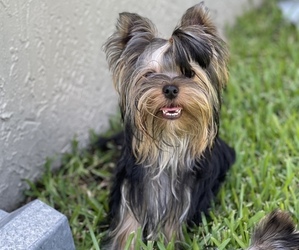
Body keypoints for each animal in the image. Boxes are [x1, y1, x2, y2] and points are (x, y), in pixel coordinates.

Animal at [103, 2, 237, 249]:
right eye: (150, 74)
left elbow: (172, 232)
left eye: (189, 73)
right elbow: (127, 231)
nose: (171, 88)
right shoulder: (132, 193)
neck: (169, 139)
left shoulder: (184, 201)